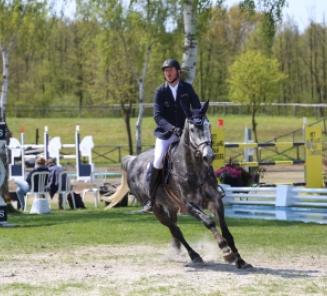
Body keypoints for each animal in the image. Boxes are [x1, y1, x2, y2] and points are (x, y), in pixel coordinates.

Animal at [109, 102, 251, 268]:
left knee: (174, 229)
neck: (195, 169)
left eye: (208, 126)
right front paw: (226, 252)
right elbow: (209, 222)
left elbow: (225, 229)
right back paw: (194, 256)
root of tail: (133, 160)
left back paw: (177, 249)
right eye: (192, 129)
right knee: (175, 229)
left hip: (171, 206)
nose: (208, 156)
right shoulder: (189, 205)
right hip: (157, 209)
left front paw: (240, 259)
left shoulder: (215, 200)